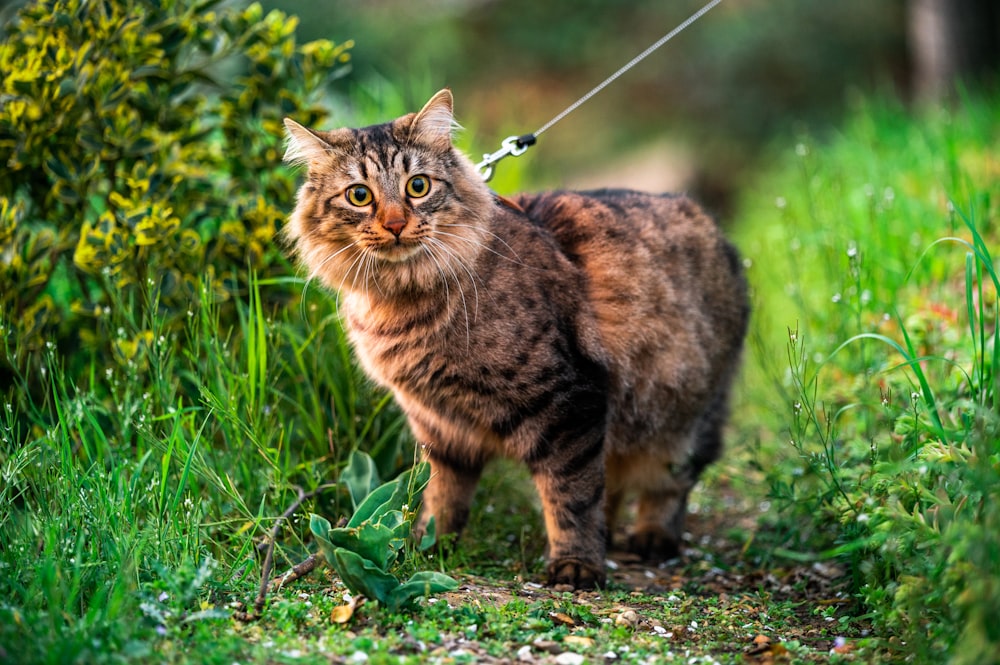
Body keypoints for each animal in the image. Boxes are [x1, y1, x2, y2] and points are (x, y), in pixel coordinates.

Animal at [286, 89, 748, 592]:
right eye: (360, 195)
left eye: (417, 187)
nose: (394, 224)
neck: (405, 302)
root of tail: (718, 231)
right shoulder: (439, 427)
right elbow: (442, 495)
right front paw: (428, 544)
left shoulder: (569, 404)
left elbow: (571, 497)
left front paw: (577, 565)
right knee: (613, 486)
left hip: (681, 423)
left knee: (667, 488)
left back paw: (650, 537)